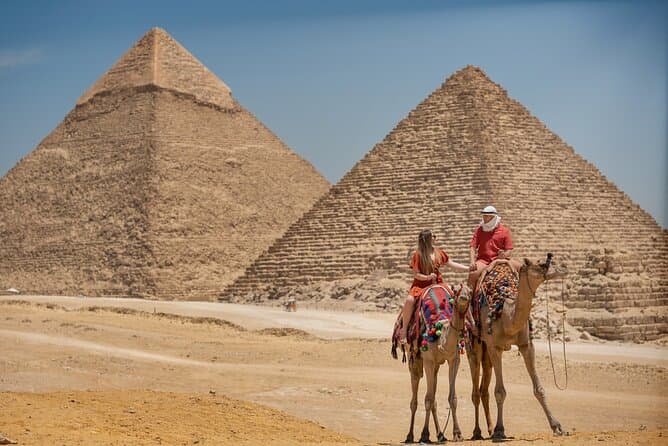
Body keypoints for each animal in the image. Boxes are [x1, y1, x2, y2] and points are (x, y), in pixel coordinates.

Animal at [403, 283, 471, 443]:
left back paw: (441, 434)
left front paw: (457, 434)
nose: (464, 297)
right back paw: (410, 435)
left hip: (436, 366)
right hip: (414, 357)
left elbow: (452, 398)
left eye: (470, 291)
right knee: (415, 396)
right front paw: (424, 434)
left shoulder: (454, 359)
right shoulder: (428, 360)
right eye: (456, 291)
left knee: (433, 397)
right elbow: (427, 399)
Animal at [466, 253, 567, 440]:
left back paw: (489, 429)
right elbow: (500, 391)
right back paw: (477, 431)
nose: (564, 268)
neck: (506, 314)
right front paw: (500, 429)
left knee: (483, 390)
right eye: (542, 264)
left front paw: (557, 427)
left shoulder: (526, 345)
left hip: (487, 356)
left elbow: (539, 389)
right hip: (475, 345)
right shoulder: (495, 347)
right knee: (476, 390)